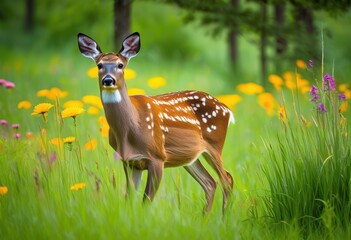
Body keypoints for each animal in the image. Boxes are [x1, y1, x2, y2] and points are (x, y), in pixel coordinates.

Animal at [78, 31, 235, 212]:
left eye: (120, 65)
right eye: (99, 65)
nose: (108, 80)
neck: (130, 128)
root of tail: (227, 110)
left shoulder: (157, 157)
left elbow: (146, 200)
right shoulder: (129, 161)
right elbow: (129, 198)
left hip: (215, 145)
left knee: (227, 179)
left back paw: (223, 217)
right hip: (190, 156)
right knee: (210, 183)